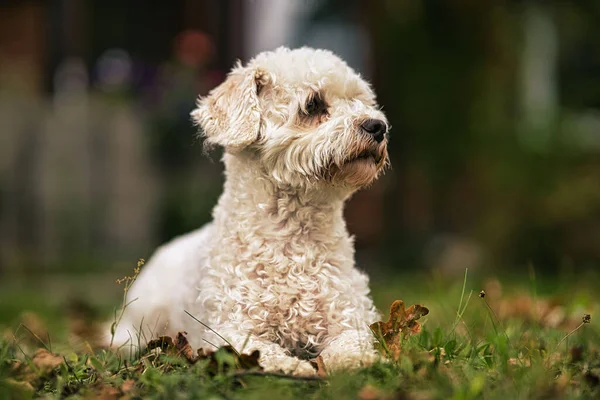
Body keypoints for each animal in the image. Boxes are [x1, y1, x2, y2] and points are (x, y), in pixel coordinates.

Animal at [107, 47, 390, 376]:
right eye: (313, 104)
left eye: (361, 100)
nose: (378, 126)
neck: (291, 240)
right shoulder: (229, 330)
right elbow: (260, 351)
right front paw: (294, 368)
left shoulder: (348, 314)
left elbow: (352, 342)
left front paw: (357, 361)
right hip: (143, 313)